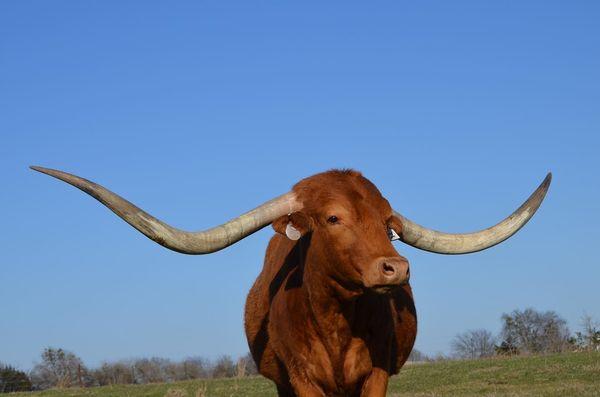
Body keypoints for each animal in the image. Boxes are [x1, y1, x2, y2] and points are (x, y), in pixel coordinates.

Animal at [31, 166, 548, 396]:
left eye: (388, 223)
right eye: (334, 218)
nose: (396, 268)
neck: (337, 326)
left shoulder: (377, 375)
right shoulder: (300, 381)